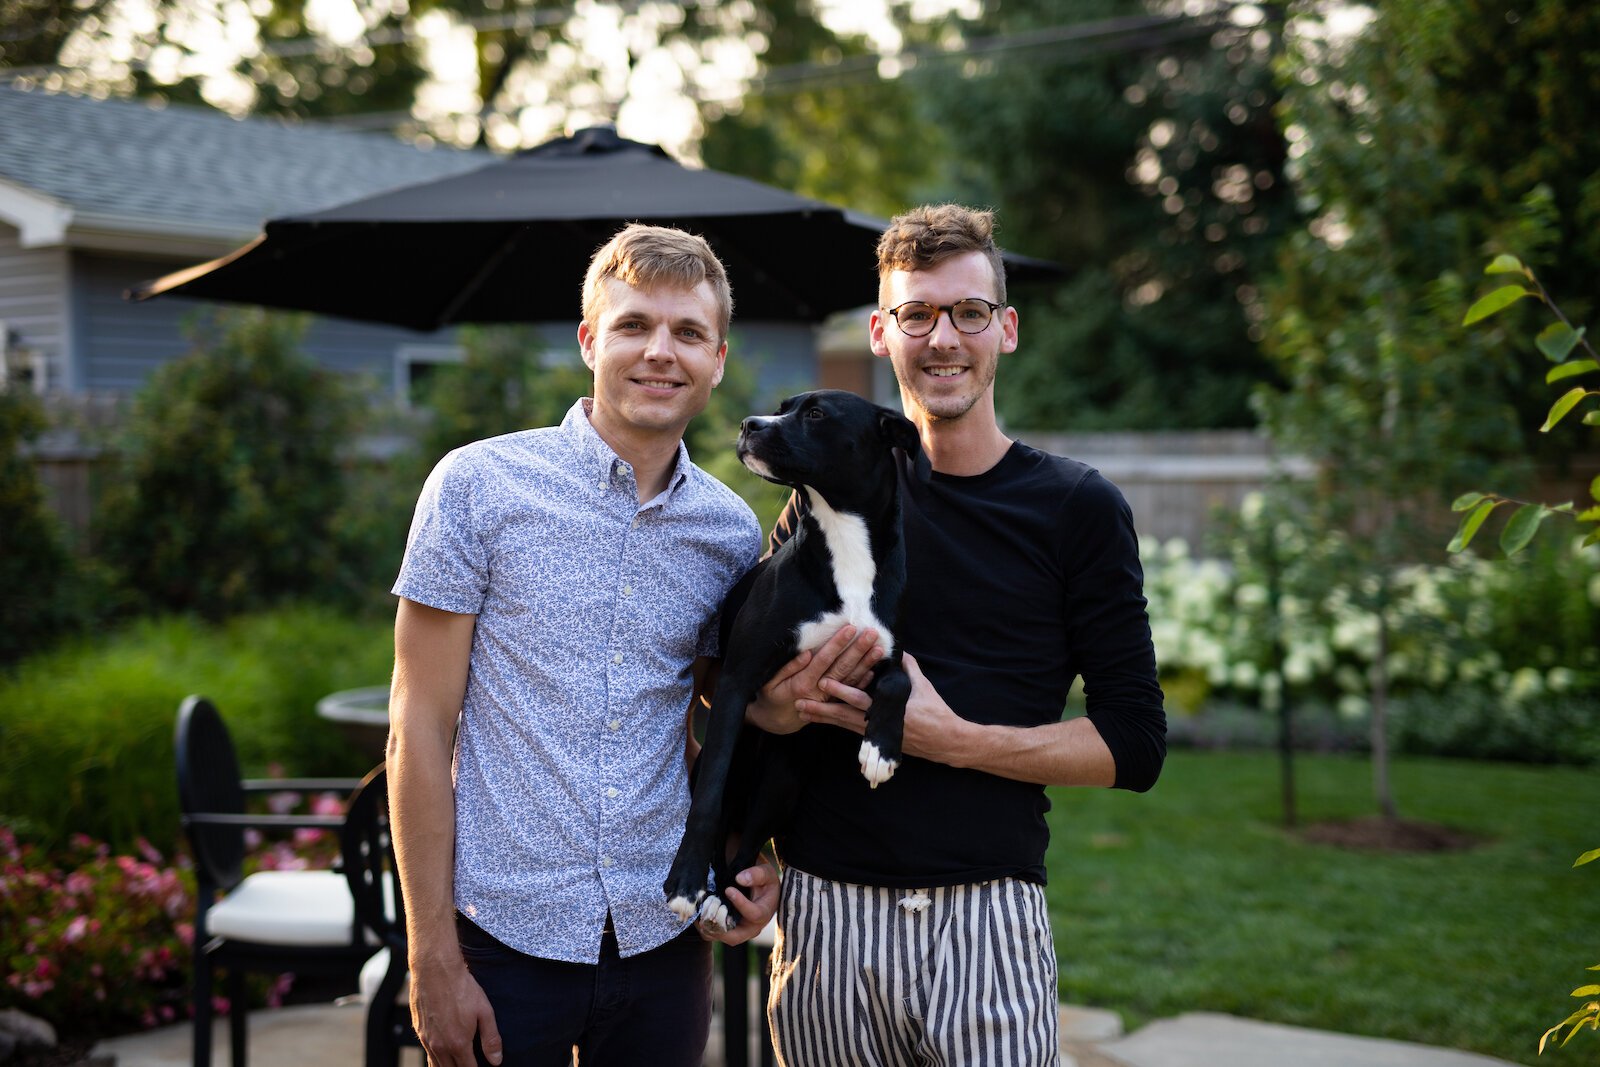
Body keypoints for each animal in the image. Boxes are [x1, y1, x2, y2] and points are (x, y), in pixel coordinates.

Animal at [662, 390, 928, 927]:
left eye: (817, 414)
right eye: (785, 407)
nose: (750, 424)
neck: (845, 544)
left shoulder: (886, 654)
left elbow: (898, 684)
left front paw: (881, 751)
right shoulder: (737, 681)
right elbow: (707, 802)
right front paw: (684, 880)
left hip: (781, 785)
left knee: (745, 850)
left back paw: (727, 898)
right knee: (723, 815)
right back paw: (710, 892)